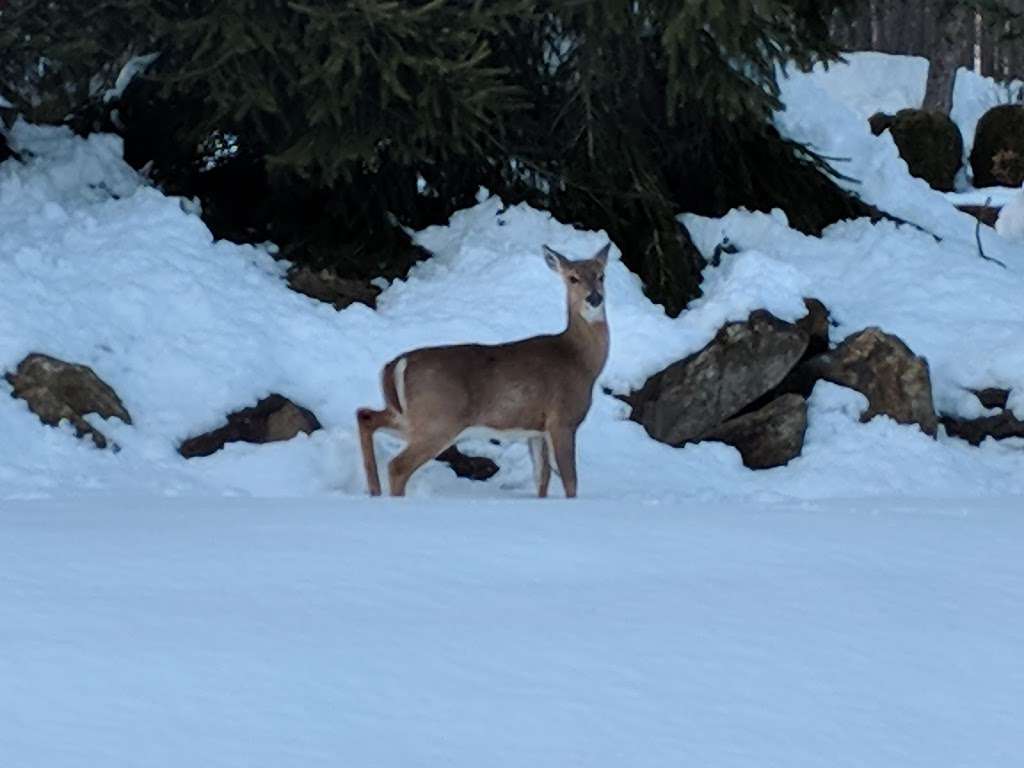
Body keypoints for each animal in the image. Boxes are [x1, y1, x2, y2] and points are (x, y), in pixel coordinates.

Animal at [354, 243, 606, 501]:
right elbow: (570, 482)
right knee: (398, 466)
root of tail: (396, 364)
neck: (580, 361)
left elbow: (541, 479)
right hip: (438, 419)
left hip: (409, 417)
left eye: (601, 276)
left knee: (365, 415)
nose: (595, 297)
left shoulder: (536, 430)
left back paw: (374, 491)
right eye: (573, 278)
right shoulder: (563, 419)